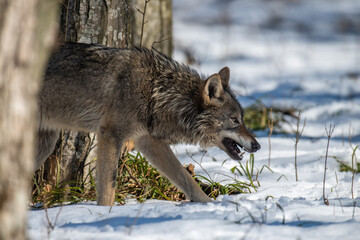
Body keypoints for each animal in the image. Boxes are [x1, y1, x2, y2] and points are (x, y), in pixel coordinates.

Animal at [35, 42, 262, 205]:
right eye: (235, 120)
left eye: (242, 119)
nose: (258, 145)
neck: (157, 92)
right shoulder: (110, 135)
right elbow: (108, 187)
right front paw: (104, 215)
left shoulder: (148, 141)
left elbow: (187, 180)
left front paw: (209, 205)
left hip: (45, 144)